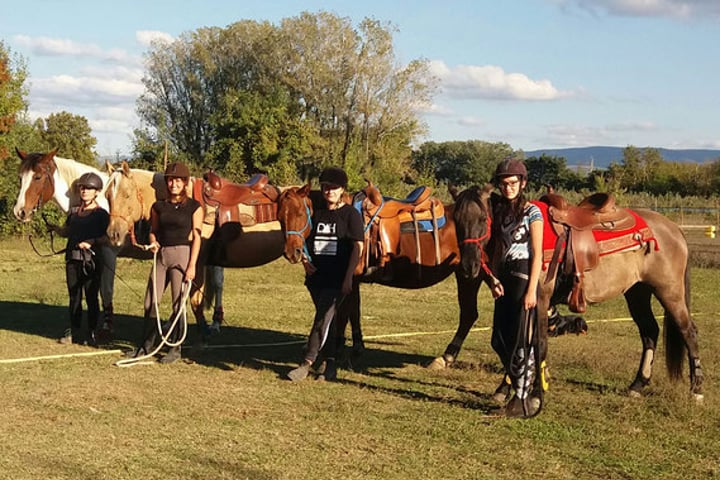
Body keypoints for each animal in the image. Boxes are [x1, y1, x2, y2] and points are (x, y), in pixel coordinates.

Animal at [450, 184, 704, 402]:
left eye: (482, 219)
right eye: (457, 220)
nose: (468, 266)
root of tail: (674, 229)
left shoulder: (538, 299)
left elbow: (533, 342)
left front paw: (528, 391)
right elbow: (511, 341)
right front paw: (506, 389)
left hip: (669, 292)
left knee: (688, 330)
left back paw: (697, 389)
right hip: (637, 293)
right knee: (650, 331)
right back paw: (637, 385)